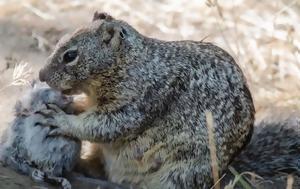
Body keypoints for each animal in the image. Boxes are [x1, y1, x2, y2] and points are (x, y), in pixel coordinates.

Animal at [36, 11, 254, 188]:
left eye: (70, 55)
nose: (41, 75)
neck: (130, 62)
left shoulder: (134, 105)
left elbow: (102, 126)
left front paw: (61, 120)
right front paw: (72, 104)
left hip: (178, 174)